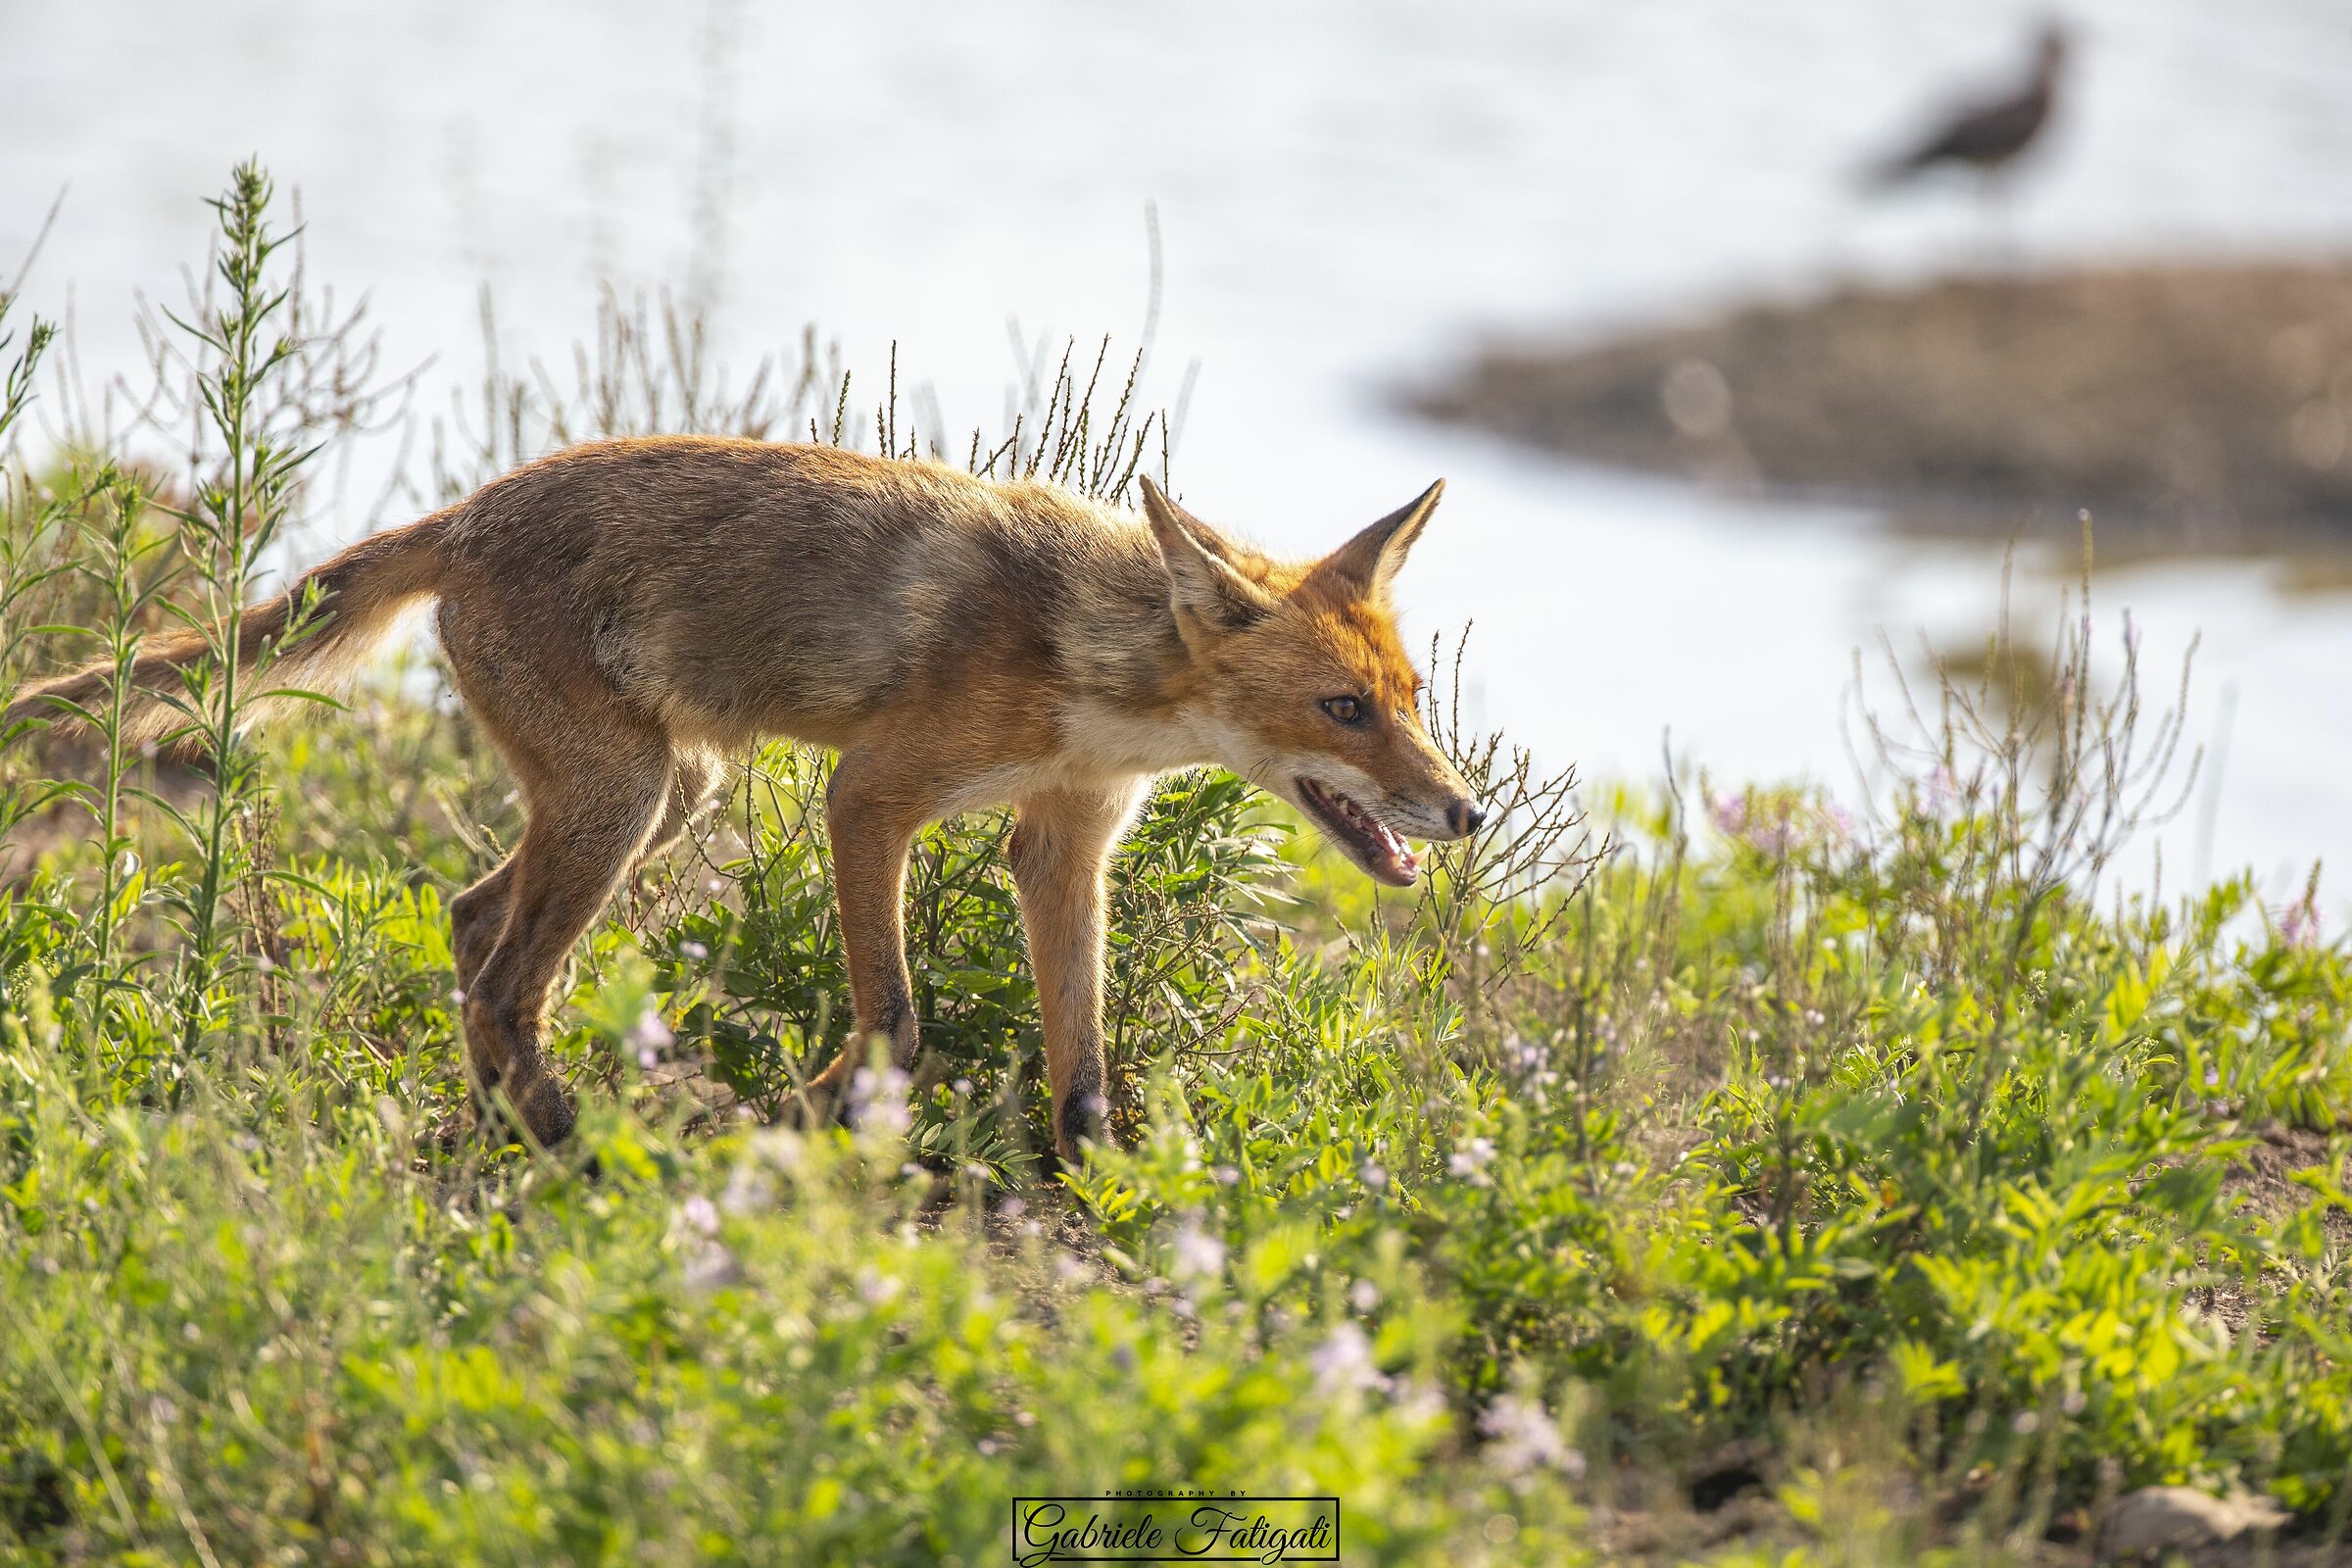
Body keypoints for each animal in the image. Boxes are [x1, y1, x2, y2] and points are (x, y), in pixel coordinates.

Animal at [5, 439, 1483, 1158]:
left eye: (1412, 695)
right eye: (1343, 711)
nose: (1465, 814)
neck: (1083, 667)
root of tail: (471, 511)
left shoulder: (1067, 841)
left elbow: (1084, 1065)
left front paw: (1102, 1186)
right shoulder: (870, 797)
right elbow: (896, 1018)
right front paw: (819, 1118)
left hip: (666, 795)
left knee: (473, 924)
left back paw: (504, 1123)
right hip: (626, 799)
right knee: (504, 975)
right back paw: (567, 1140)